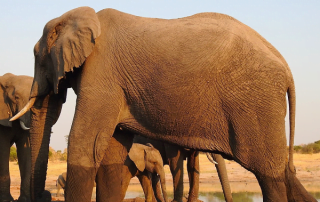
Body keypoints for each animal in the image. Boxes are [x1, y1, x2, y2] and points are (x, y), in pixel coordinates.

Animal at [12, 6, 318, 202]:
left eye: (38, 58)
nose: (43, 195)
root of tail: (285, 66)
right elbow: (112, 154)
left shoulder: (102, 74)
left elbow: (85, 144)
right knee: (283, 173)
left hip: (256, 104)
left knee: (270, 177)